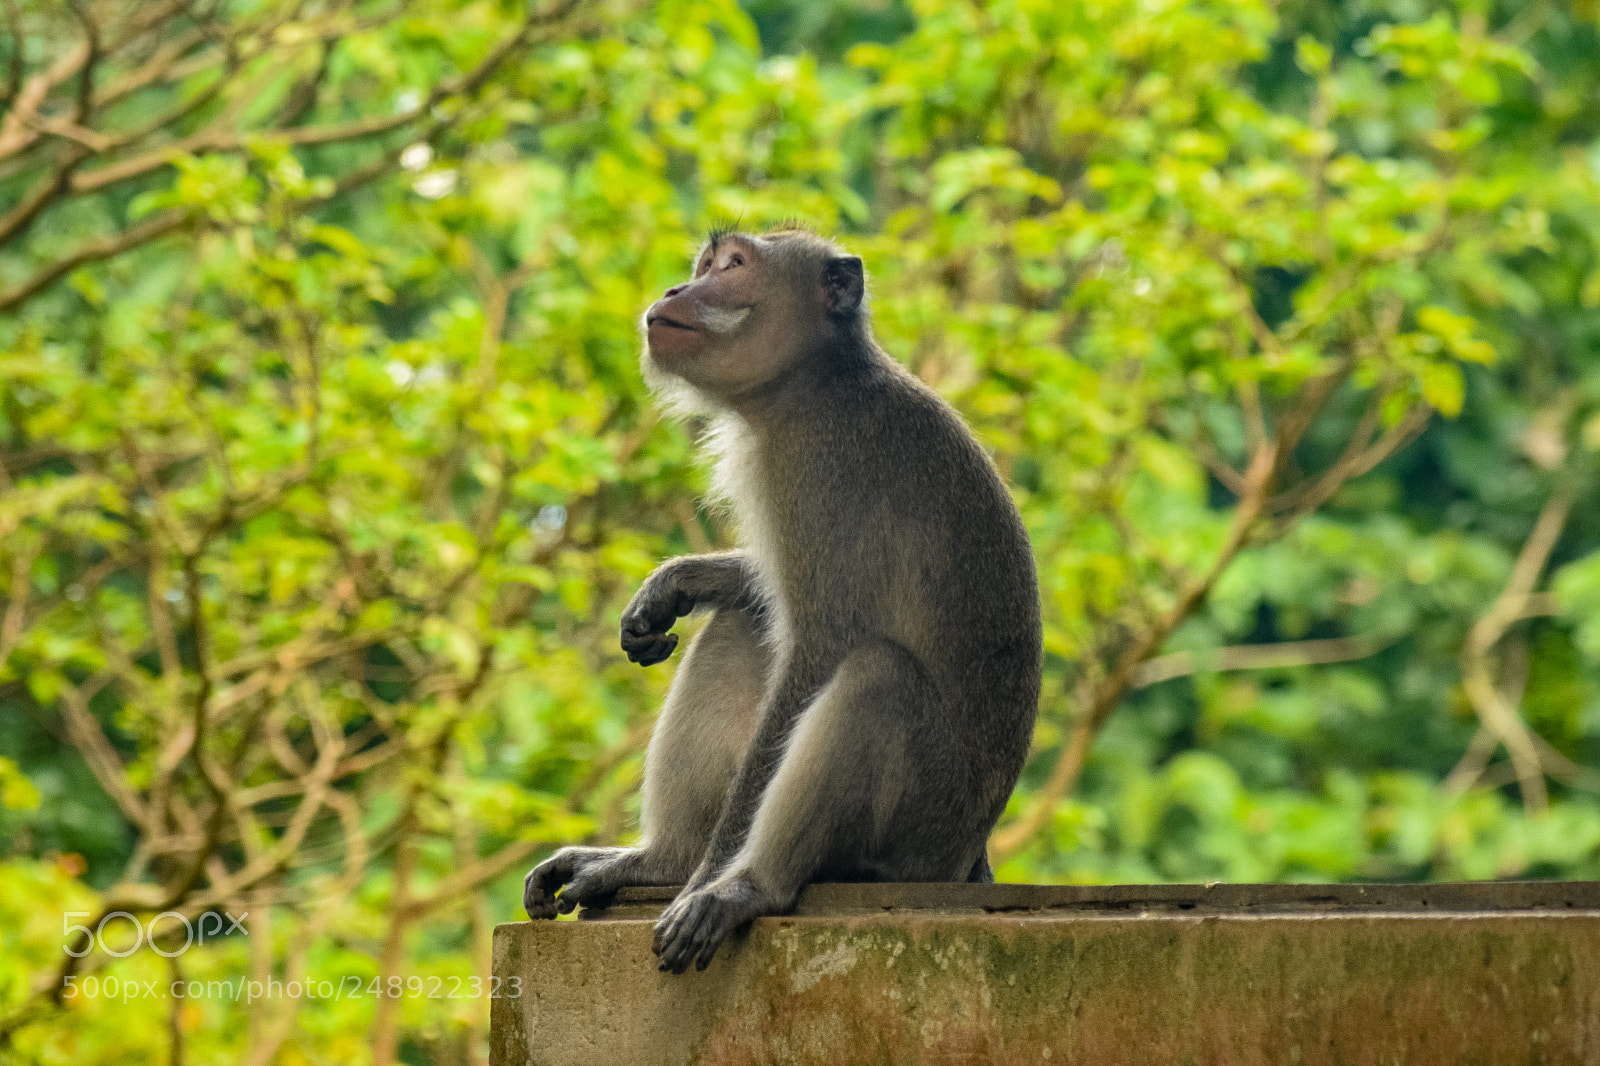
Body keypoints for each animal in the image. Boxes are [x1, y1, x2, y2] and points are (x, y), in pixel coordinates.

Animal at [522, 225, 1042, 975]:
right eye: (705, 264)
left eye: (733, 266)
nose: (677, 288)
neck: (812, 386)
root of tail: (963, 858)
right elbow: (765, 595)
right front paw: (677, 582)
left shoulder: (822, 471)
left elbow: (817, 651)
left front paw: (710, 877)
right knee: (745, 625)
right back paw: (658, 860)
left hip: (920, 824)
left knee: (874, 675)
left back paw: (747, 886)